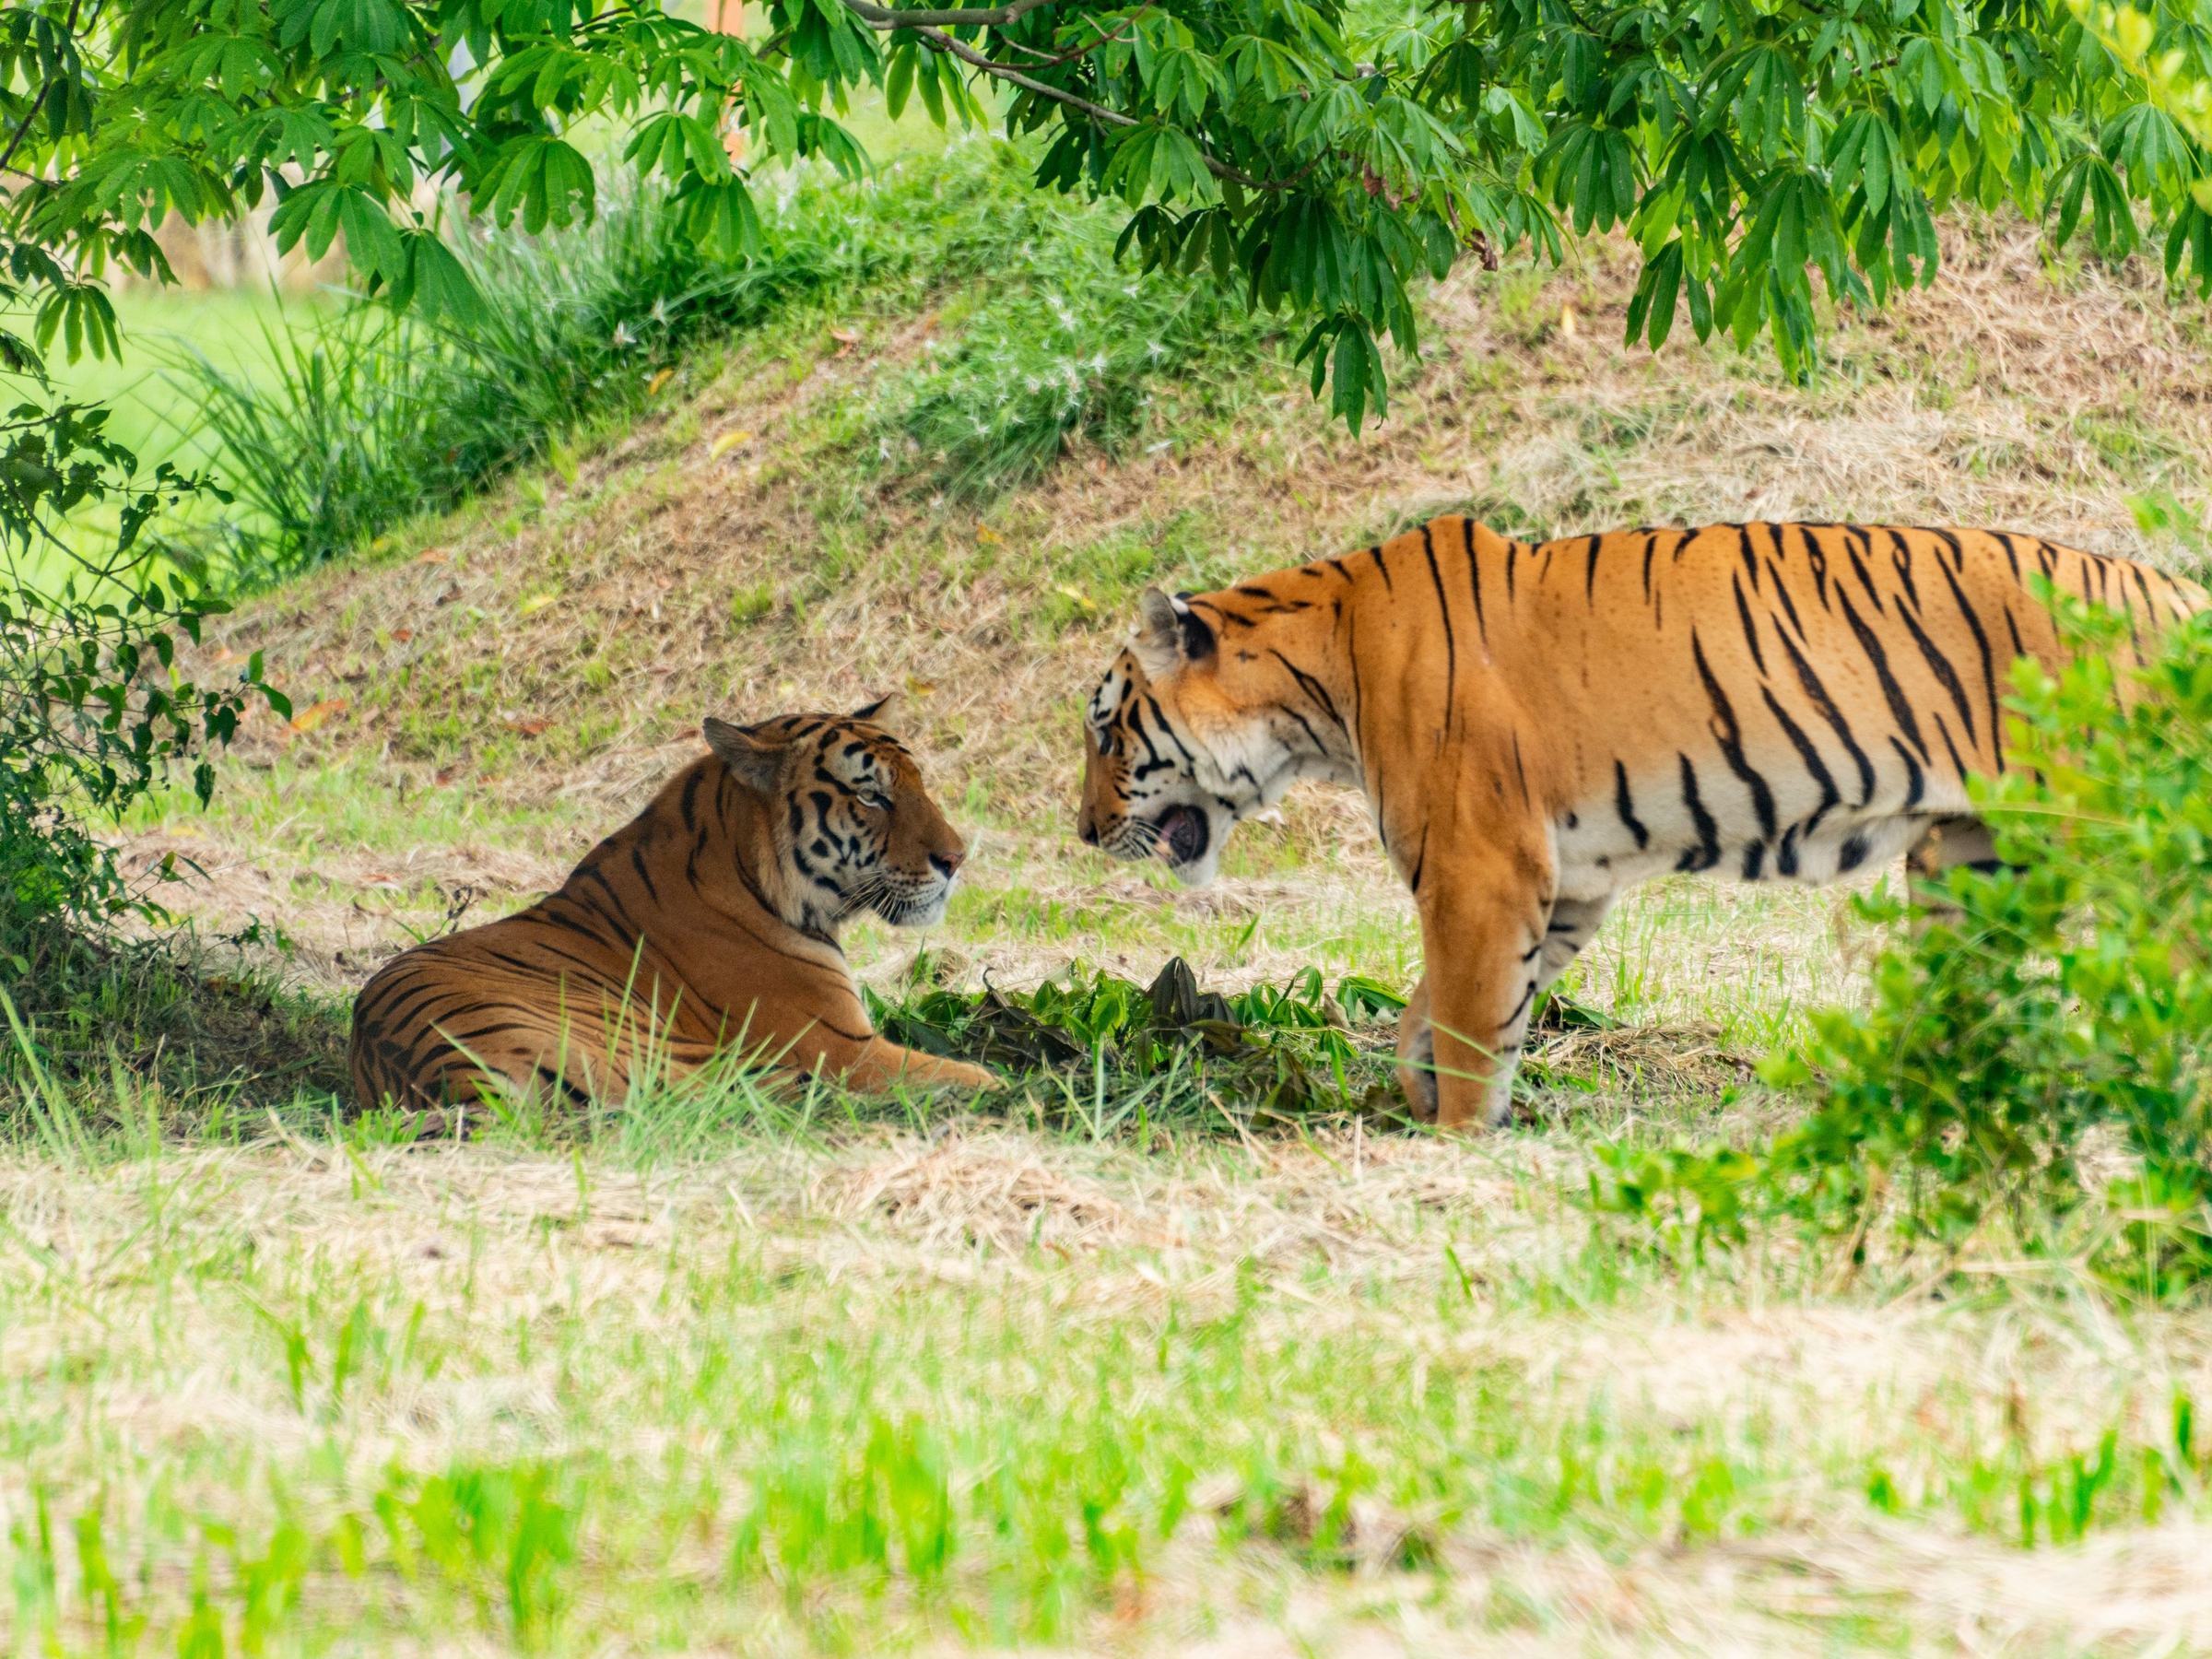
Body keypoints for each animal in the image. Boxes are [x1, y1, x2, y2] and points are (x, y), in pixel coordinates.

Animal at [350, 702, 996, 1115]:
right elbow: (959, 1071)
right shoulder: (844, 1049)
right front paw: (996, 1080)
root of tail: (453, 1079)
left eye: (917, 783)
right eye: (870, 796)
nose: (957, 858)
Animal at [1076, 517, 2207, 1131]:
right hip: (1975, 861)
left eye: (1104, 728)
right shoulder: (1563, 878)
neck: (1319, 678)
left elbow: (1470, 1013)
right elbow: (1451, 1008)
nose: (1084, 832)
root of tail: (2177, 594)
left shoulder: (1480, 864)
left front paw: (1453, 1141)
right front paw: (1419, 1094)